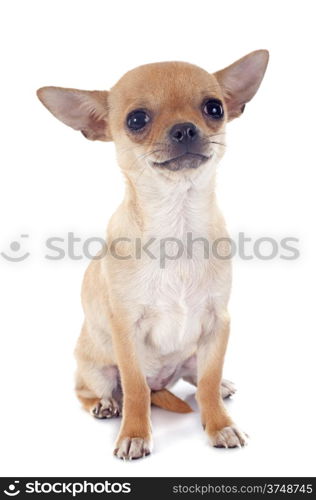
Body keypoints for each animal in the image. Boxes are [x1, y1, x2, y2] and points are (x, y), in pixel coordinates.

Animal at [37, 50, 270, 460]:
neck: (177, 225)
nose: (185, 129)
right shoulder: (126, 331)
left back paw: (220, 387)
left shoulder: (217, 324)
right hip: (95, 369)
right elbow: (134, 388)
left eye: (214, 108)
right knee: (94, 391)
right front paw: (134, 433)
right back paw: (106, 404)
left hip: (194, 353)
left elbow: (207, 383)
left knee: (198, 378)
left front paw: (219, 423)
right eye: (136, 120)